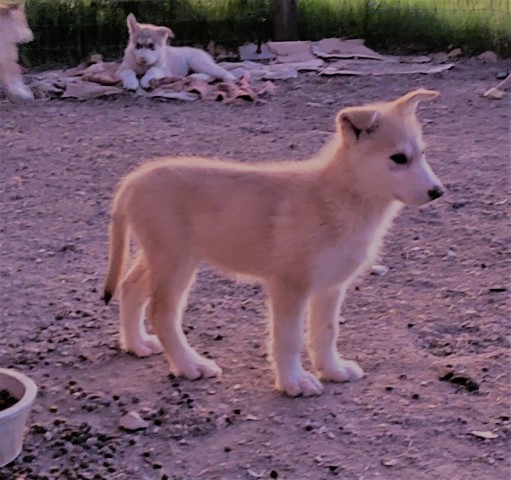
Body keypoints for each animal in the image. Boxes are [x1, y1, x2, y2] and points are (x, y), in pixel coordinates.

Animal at [103, 90, 444, 398]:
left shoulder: (330, 286)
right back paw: (189, 365)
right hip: (176, 263)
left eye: (423, 154)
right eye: (398, 158)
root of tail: (133, 180)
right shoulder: (290, 285)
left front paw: (333, 369)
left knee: (130, 288)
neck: (339, 197)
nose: (438, 192)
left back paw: (137, 344)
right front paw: (294, 381)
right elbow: (289, 338)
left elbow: (326, 332)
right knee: (162, 313)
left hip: (160, 257)